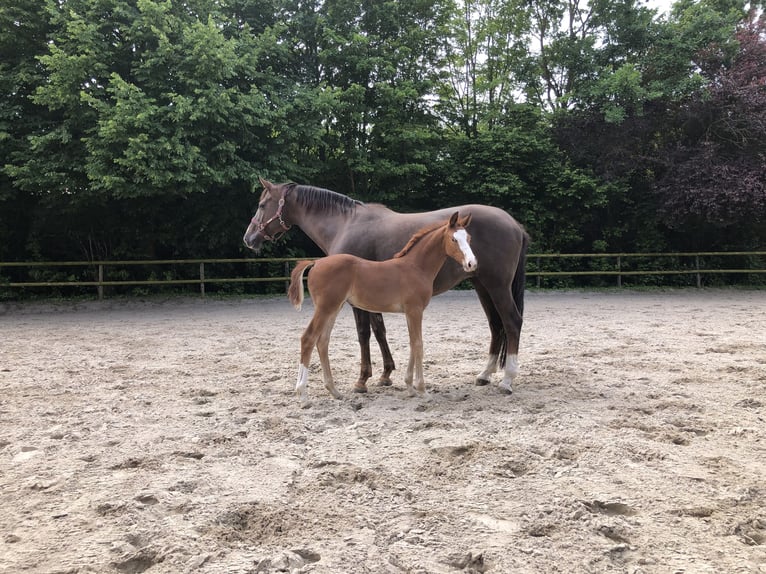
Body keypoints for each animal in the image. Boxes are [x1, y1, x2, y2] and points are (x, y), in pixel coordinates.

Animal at [290, 213, 476, 410]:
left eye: (469, 238)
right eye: (453, 239)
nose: (471, 263)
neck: (416, 267)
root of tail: (316, 262)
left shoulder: (410, 313)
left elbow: (412, 343)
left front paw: (410, 387)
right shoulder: (415, 310)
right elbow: (418, 344)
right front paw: (422, 391)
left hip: (334, 308)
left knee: (323, 341)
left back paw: (334, 391)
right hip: (325, 307)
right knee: (308, 338)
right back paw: (303, 396)